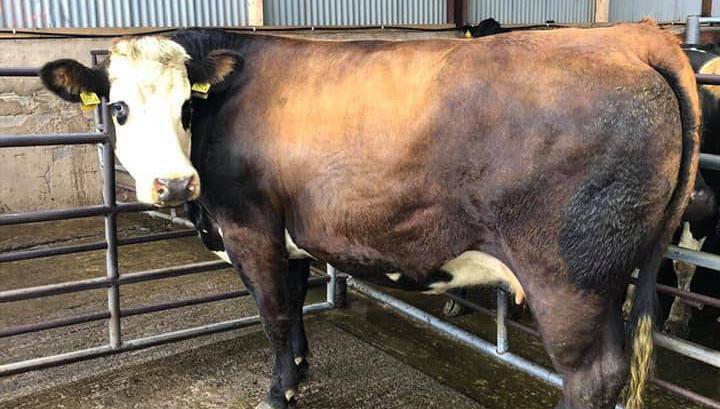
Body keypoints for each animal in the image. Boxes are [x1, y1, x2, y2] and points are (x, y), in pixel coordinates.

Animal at [40, 20, 699, 409]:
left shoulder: (250, 228)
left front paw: (278, 393)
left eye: (185, 106)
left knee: (591, 376)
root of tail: (626, 35)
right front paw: (300, 369)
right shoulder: (289, 235)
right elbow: (296, 305)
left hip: (567, 279)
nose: (175, 184)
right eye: (119, 107)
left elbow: (273, 315)